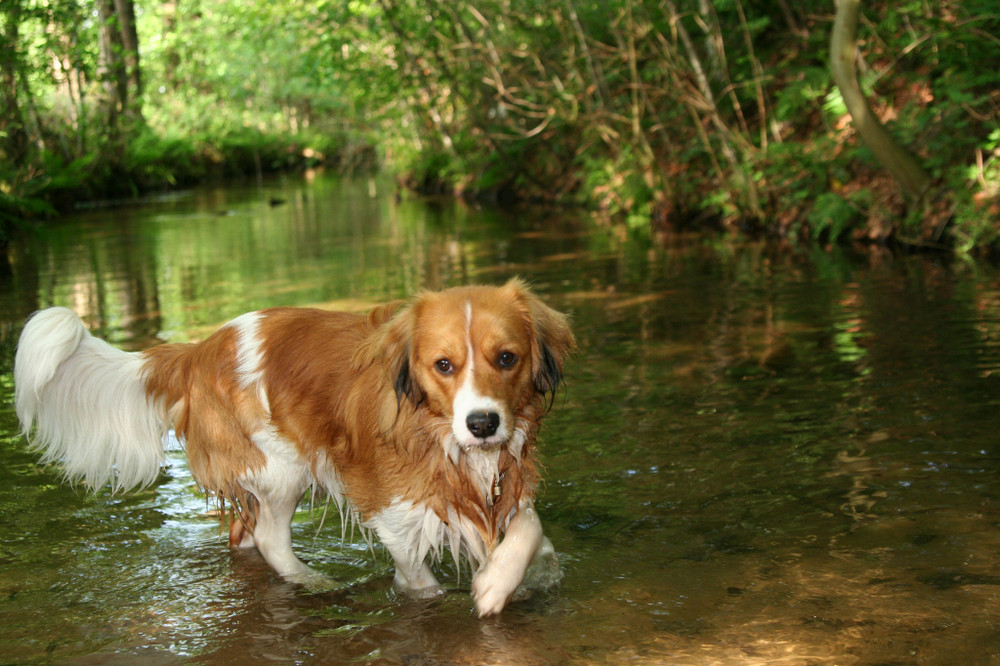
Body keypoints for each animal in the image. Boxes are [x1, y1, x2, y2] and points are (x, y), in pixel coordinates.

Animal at [13, 278, 580, 616]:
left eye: (506, 358)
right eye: (444, 365)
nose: (483, 423)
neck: (440, 437)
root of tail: (199, 350)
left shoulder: (506, 481)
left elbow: (530, 529)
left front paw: (505, 578)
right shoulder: (393, 510)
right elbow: (421, 581)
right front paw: (480, 591)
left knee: (243, 536)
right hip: (279, 470)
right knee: (268, 538)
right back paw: (312, 580)